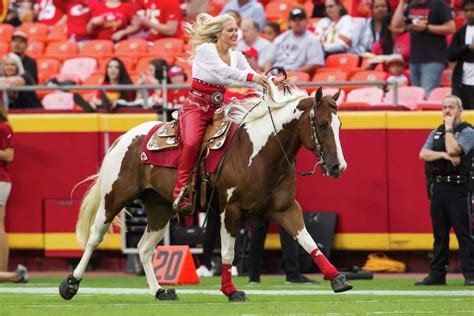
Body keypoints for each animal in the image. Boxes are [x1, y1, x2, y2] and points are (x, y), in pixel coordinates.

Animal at [58, 83, 352, 302]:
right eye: (322, 124)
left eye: (339, 126)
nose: (338, 167)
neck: (259, 152)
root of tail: (123, 138)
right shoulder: (230, 211)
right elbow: (227, 253)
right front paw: (231, 291)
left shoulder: (286, 209)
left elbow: (308, 242)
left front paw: (338, 279)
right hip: (114, 198)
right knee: (94, 238)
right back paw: (70, 284)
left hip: (160, 208)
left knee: (143, 248)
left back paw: (160, 291)